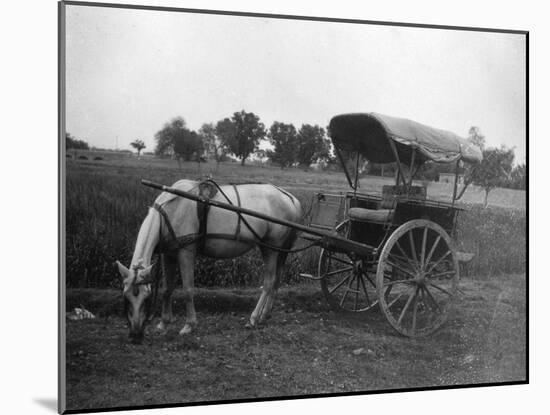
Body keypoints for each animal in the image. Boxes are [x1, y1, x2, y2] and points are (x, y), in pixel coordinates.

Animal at [116, 180, 304, 344]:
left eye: (146, 298)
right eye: (126, 297)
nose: (135, 336)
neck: (170, 210)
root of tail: (289, 197)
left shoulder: (186, 252)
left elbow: (188, 289)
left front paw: (189, 325)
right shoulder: (168, 254)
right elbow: (167, 289)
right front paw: (164, 322)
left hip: (271, 248)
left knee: (269, 282)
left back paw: (254, 318)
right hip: (279, 250)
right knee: (276, 281)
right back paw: (265, 315)